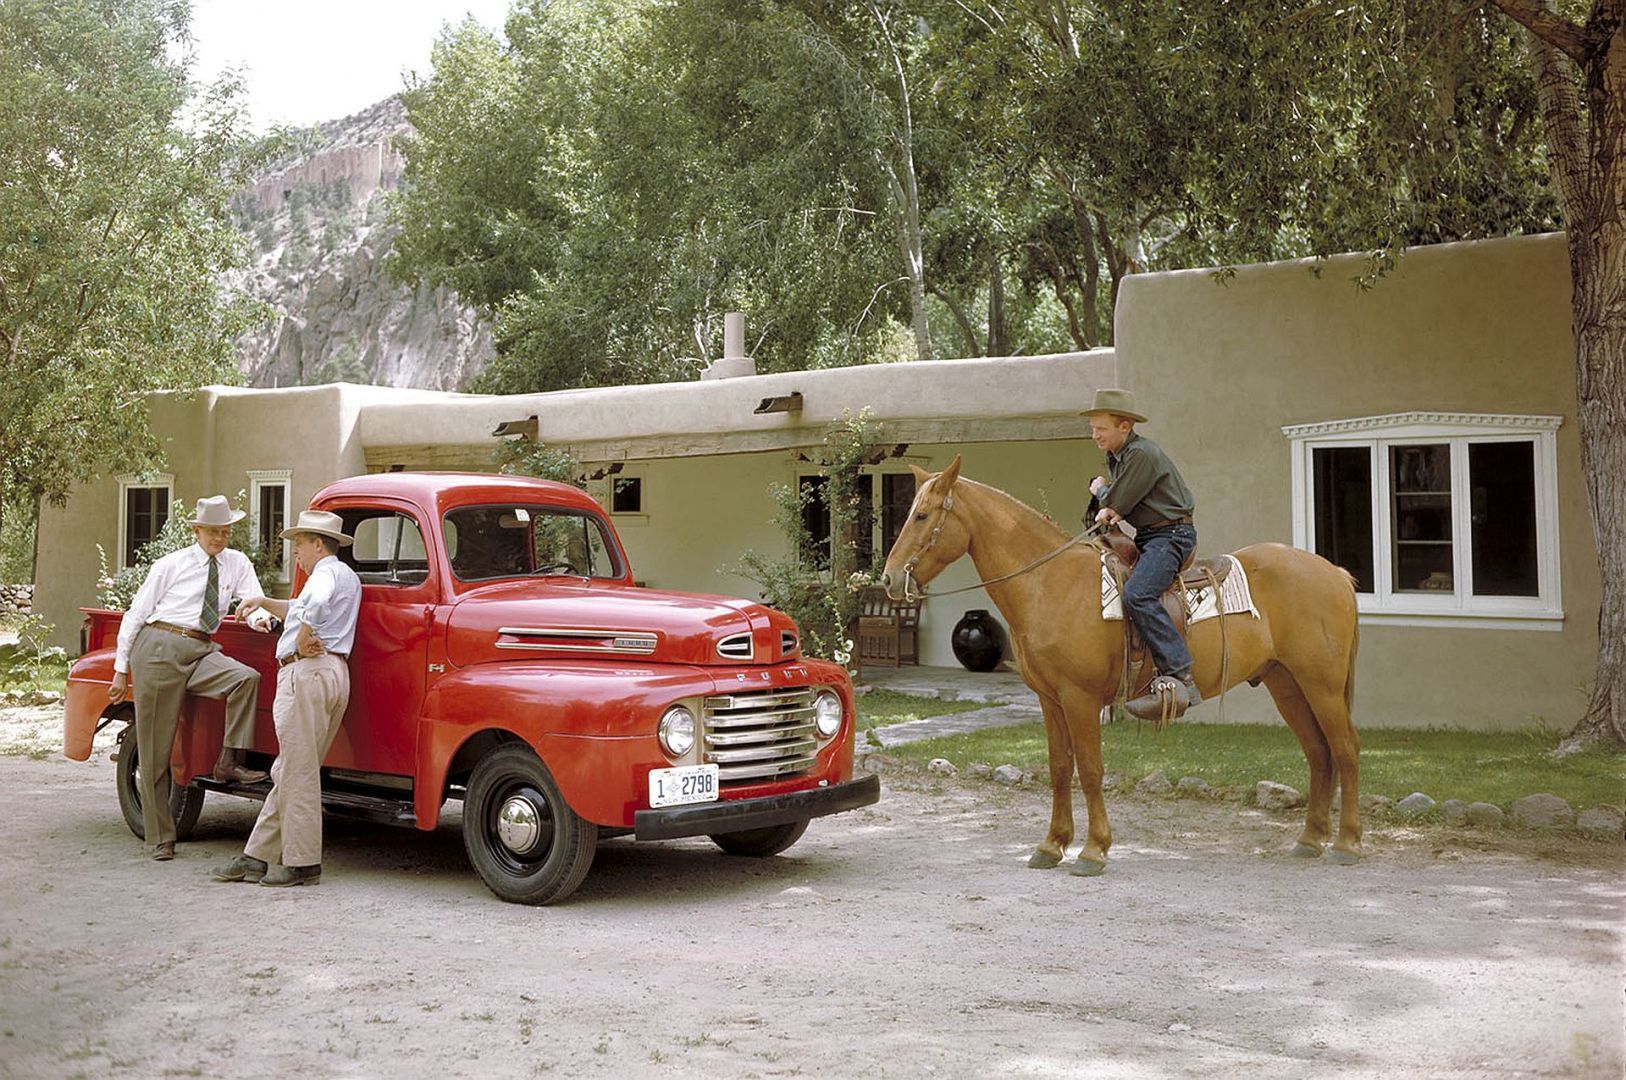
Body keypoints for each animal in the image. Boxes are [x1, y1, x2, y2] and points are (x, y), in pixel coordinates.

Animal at [878, 458, 1359, 871]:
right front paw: (1051, 845)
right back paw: (1310, 839)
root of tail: (1334, 573)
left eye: (922, 516)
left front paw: (1093, 850)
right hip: (1287, 683)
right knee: (1319, 753)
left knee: (1345, 749)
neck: (1050, 583)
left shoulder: (1080, 698)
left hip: (1322, 685)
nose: (888, 578)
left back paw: (1346, 843)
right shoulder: (1050, 700)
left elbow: (1090, 770)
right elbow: (1059, 768)